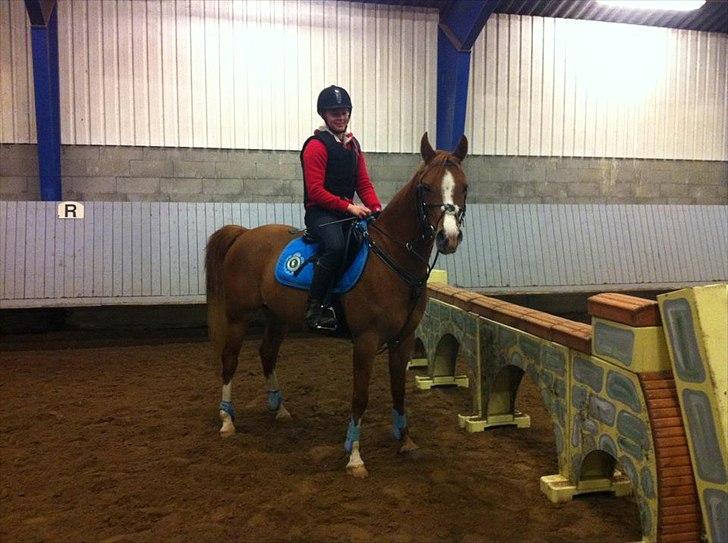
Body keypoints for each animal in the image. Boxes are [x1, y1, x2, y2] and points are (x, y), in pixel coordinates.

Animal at [205, 132, 468, 477]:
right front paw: (354, 456)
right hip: (238, 317)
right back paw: (227, 420)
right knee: (230, 360)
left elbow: (399, 391)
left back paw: (279, 408)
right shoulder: (366, 341)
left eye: (464, 186)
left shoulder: (404, 339)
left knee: (267, 354)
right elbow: (360, 397)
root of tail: (245, 234)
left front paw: (405, 441)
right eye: (425, 187)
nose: (448, 237)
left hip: (277, 318)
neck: (392, 258)